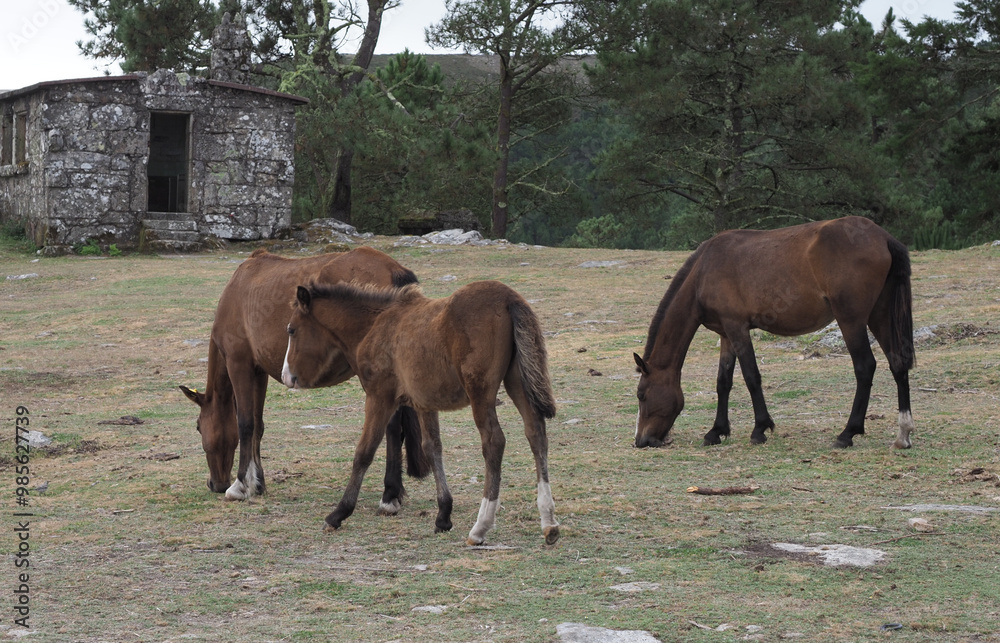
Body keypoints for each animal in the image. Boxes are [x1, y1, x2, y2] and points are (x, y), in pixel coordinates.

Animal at [180, 246, 430, 512]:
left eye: (198, 426)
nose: (215, 484)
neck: (237, 291)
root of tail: (392, 268)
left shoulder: (239, 364)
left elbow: (245, 424)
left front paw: (240, 486)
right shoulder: (259, 372)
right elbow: (258, 426)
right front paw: (257, 483)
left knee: (391, 428)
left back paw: (389, 495)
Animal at [281, 280, 560, 546]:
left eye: (292, 330)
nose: (287, 377)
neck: (374, 326)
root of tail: (509, 298)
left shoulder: (380, 396)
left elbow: (364, 452)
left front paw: (338, 514)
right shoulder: (424, 402)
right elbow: (432, 447)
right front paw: (443, 515)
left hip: (481, 392)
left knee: (494, 442)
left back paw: (480, 528)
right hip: (517, 380)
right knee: (536, 433)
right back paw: (549, 523)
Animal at [634, 216, 915, 450]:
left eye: (641, 394)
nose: (641, 441)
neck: (704, 271)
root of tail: (882, 236)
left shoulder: (737, 328)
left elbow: (751, 377)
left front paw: (759, 429)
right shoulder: (726, 334)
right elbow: (723, 382)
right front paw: (716, 431)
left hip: (851, 320)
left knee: (865, 367)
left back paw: (847, 433)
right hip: (880, 314)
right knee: (898, 363)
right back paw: (903, 434)